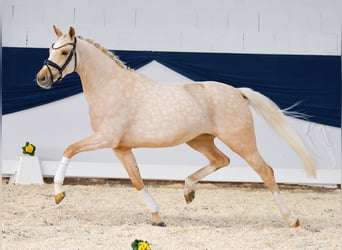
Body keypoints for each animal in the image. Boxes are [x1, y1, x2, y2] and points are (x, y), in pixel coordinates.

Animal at [36, 26, 316, 228]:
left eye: (64, 53)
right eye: (50, 49)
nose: (41, 79)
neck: (111, 87)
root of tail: (237, 92)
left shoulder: (105, 138)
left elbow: (69, 149)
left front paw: (59, 194)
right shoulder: (121, 147)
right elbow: (137, 180)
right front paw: (157, 217)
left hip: (241, 141)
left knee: (265, 171)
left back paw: (292, 219)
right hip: (200, 139)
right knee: (221, 160)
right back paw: (188, 191)